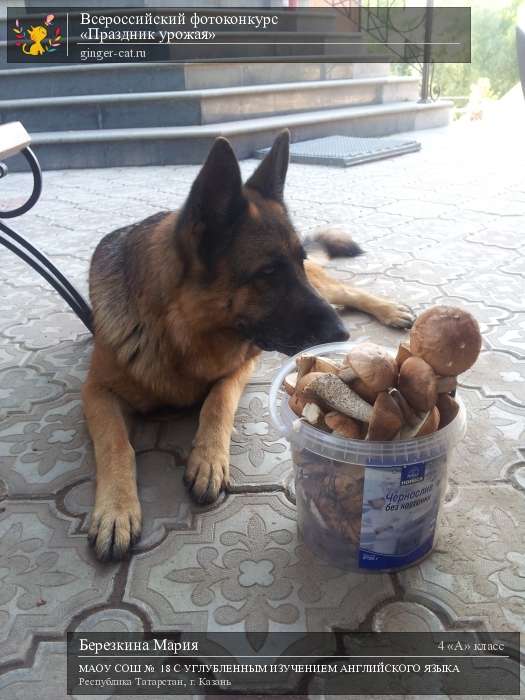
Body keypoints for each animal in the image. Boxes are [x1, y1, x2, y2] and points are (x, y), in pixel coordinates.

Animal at [84, 129, 414, 560]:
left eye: (296, 261)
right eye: (269, 272)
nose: (342, 336)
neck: (176, 332)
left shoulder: (241, 365)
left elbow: (216, 402)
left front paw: (208, 459)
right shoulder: (96, 390)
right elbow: (115, 443)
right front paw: (117, 510)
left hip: (323, 287)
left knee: (347, 291)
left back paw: (389, 309)